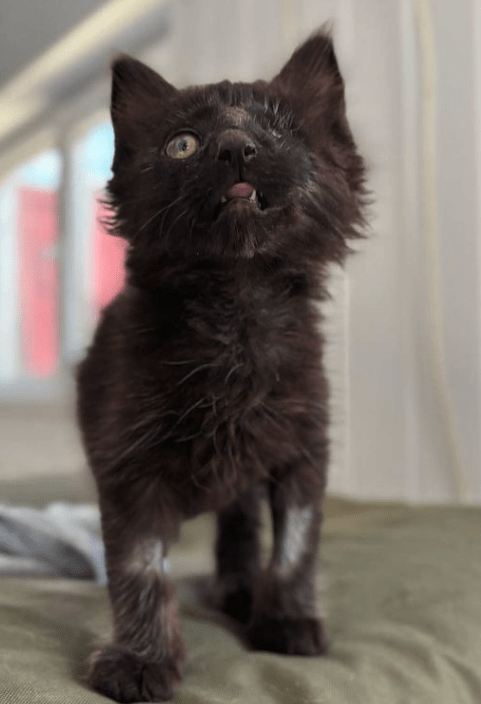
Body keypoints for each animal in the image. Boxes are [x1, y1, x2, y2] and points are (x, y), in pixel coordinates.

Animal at [77, 30, 366, 700]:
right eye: (182, 144)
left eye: (283, 132)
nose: (236, 148)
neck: (236, 308)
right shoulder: (128, 463)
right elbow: (140, 569)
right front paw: (139, 661)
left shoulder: (303, 448)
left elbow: (294, 546)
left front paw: (287, 621)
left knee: (238, 524)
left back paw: (238, 590)